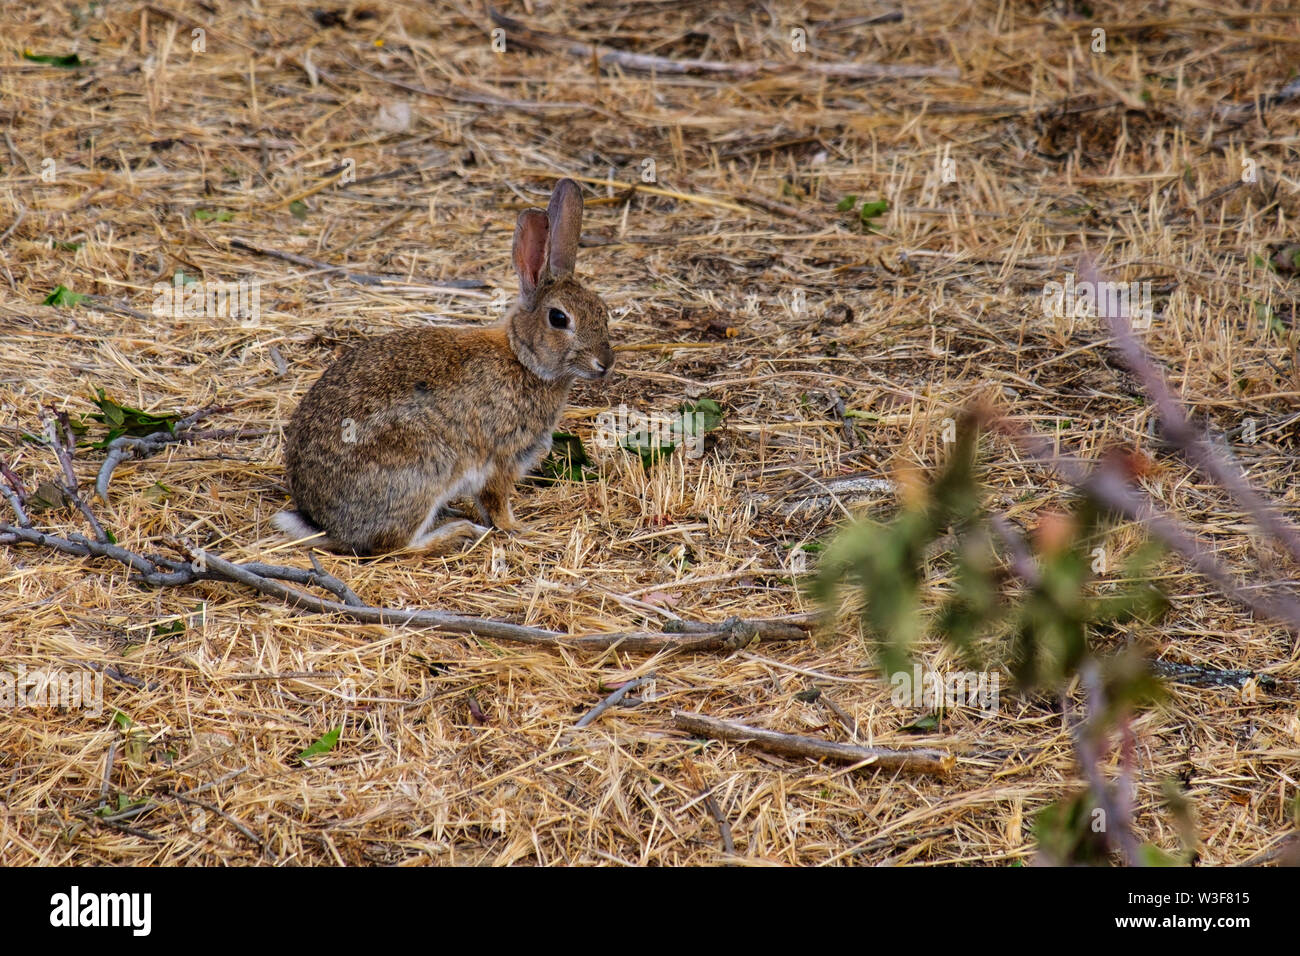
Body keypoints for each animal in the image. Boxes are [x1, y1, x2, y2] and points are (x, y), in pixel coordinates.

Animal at [272, 178, 614, 555]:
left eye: (602, 309)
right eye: (558, 318)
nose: (605, 363)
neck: (523, 359)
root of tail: (319, 521)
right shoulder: (501, 458)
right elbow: (496, 502)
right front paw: (517, 528)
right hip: (421, 471)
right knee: (393, 545)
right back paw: (458, 531)